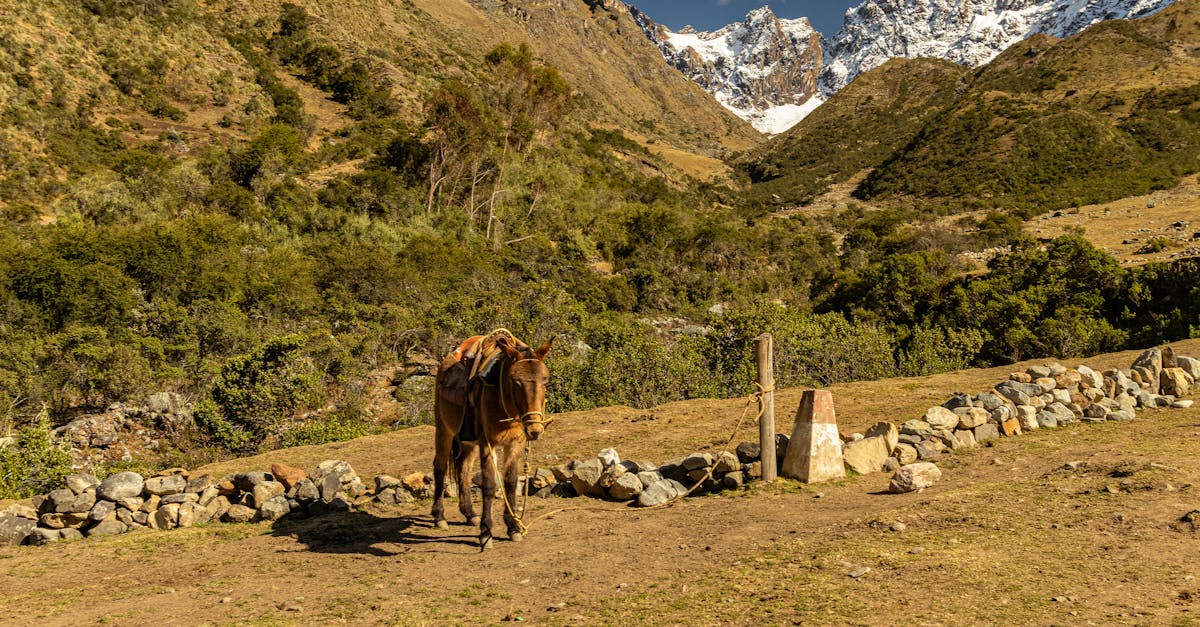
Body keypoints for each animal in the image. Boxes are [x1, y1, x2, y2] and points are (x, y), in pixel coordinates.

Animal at [432, 329, 552, 550]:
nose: (535, 430)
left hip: (468, 441)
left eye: (545, 381)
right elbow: (488, 485)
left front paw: (513, 527)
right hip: (444, 430)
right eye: (515, 383)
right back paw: (439, 517)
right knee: (440, 467)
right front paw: (486, 533)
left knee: (463, 468)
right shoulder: (488, 443)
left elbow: (511, 482)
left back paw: (469, 514)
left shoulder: (515, 443)